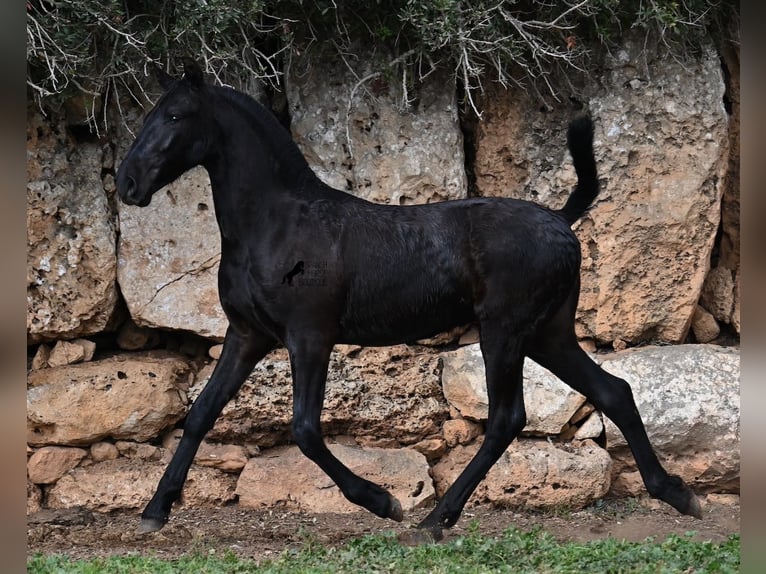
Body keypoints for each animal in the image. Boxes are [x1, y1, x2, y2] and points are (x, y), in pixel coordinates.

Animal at [115, 60, 704, 544]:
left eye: (175, 114)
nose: (127, 183)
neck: (278, 224)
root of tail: (562, 219)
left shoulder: (309, 336)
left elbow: (304, 429)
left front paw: (383, 502)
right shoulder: (247, 335)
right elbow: (200, 415)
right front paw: (155, 510)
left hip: (506, 331)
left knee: (508, 417)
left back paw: (434, 519)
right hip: (548, 334)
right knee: (614, 391)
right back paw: (678, 494)